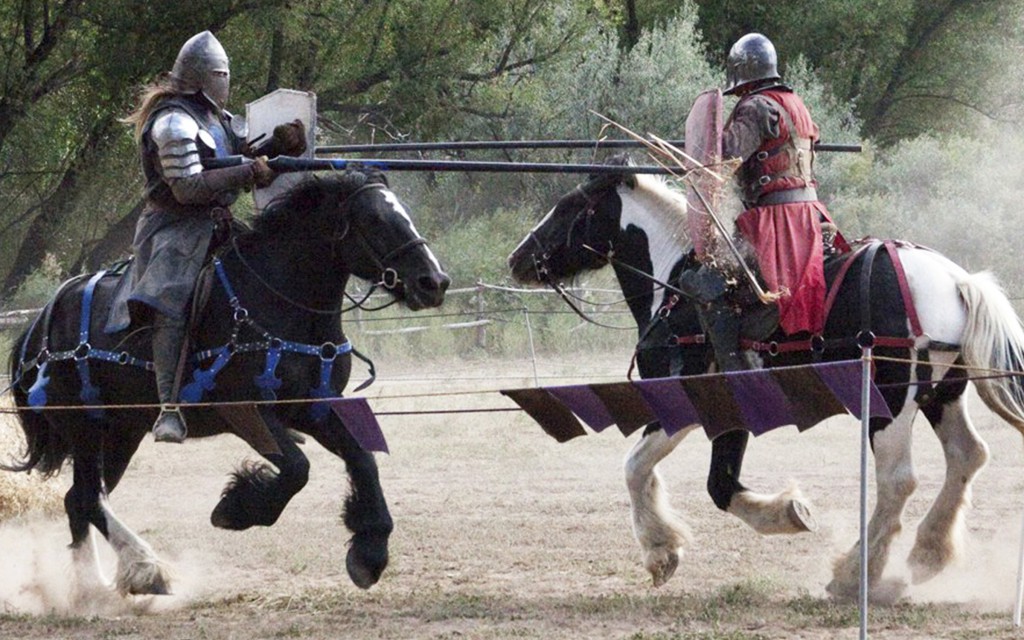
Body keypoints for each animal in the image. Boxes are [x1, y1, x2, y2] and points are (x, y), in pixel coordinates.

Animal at [4, 169, 450, 598]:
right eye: (374, 219)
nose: (434, 282)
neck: (279, 297)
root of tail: (38, 326)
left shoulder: (312, 407)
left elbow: (362, 459)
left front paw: (369, 552)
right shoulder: (245, 411)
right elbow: (297, 468)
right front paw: (237, 510)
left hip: (120, 433)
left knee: (81, 500)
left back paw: (105, 581)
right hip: (85, 430)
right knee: (86, 498)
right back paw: (136, 572)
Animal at [507, 157, 1024, 598]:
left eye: (570, 206)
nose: (517, 258)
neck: (676, 284)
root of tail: (958, 282)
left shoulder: (688, 400)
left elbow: (650, 471)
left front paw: (663, 550)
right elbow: (712, 481)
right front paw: (782, 513)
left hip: (891, 403)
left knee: (898, 481)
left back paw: (855, 574)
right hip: (941, 395)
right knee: (967, 455)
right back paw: (926, 554)